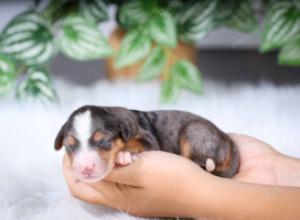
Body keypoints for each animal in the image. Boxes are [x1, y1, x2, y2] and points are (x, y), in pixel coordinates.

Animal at [55, 105, 240, 183]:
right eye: (69, 146)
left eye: (104, 141)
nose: (85, 168)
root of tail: (229, 142)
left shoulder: (148, 138)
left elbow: (136, 141)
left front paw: (124, 153)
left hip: (195, 131)